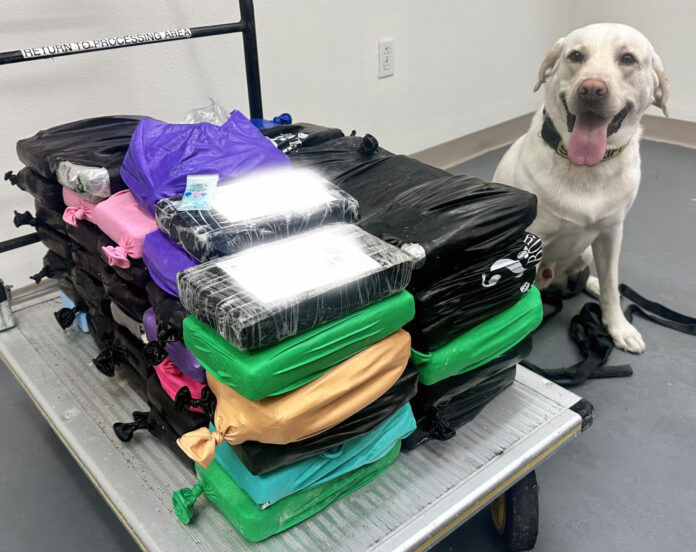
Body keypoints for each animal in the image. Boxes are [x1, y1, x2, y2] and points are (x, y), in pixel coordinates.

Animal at [494, 23, 668, 352]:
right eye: (576, 55)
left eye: (628, 58)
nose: (591, 89)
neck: (587, 167)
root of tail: (554, 277)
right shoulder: (532, 241)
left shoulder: (612, 233)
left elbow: (611, 284)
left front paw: (617, 326)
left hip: (588, 250)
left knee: (593, 276)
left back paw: (594, 284)